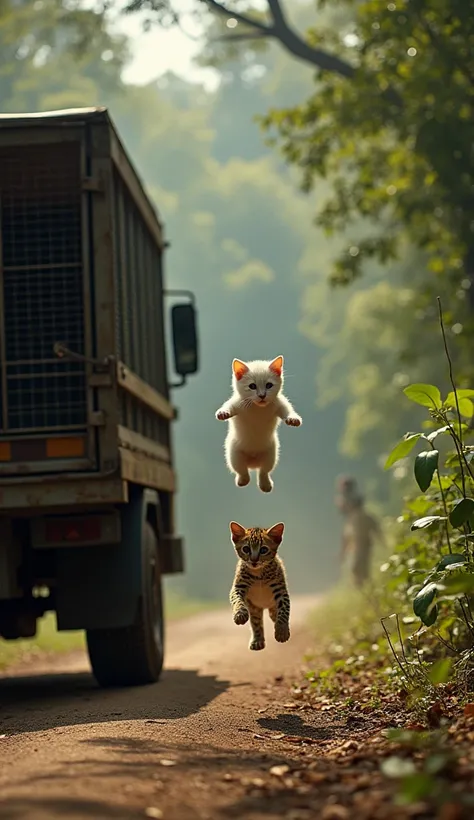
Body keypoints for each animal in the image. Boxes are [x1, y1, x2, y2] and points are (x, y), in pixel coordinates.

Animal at [214, 354, 300, 494]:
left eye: (269, 385)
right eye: (252, 386)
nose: (262, 395)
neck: (257, 407)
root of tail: (253, 463)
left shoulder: (279, 403)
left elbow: (287, 409)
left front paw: (293, 419)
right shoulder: (237, 403)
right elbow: (228, 406)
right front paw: (223, 412)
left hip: (270, 454)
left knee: (263, 471)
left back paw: (265, 484)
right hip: (234, 454)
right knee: (242, 471)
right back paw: (243, 480)